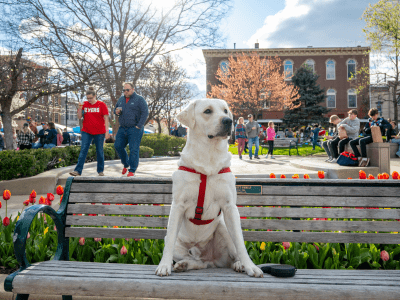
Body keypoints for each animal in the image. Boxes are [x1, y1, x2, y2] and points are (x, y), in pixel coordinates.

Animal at [155, 99, 264, 278]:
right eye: (207, 111)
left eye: (226, 111)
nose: (228, 121)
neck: (209, 155)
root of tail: (212, 258)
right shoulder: (177, 205)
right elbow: (169, 240)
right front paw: (164, 265)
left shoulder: (230, 207)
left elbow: (241, 243)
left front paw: (251, 266)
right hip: (184, 247)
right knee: (200, 262)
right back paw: (184, 264)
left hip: (223, 228)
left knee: (230, 256)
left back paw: (239, 264)